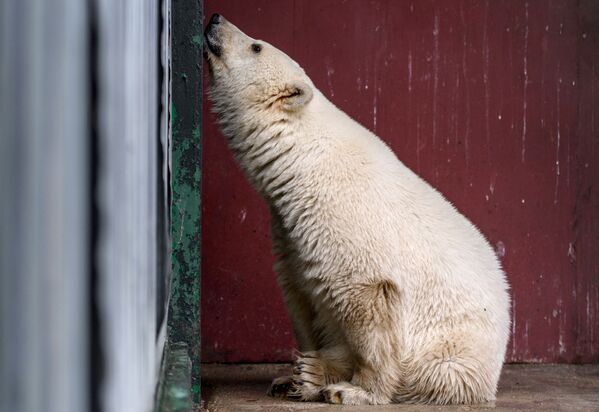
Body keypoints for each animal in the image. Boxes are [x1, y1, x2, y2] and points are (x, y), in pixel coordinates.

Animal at [205, 13, 510, 406]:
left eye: (256, 45)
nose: (215, 19)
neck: (303, 159)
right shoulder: (290, 225)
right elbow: (299, 295)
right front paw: (295, 376)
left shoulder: (344, 216)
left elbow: (366, 299)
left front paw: (353, 389)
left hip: (451, 353)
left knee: (429, 374)